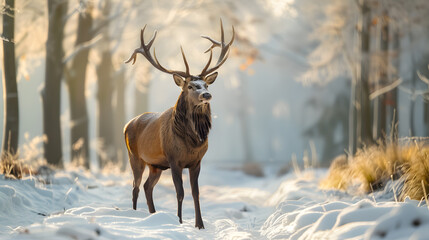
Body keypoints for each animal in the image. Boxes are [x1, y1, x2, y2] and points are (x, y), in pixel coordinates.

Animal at [122, 20, 232, 229]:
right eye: (190, 86)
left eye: (206, 84)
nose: (207, 95)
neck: (193, 141)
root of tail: (126, 124)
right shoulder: (174, 159)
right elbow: (179, 192)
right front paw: (180, 221)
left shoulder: (197, 161)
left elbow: (196, 193)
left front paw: (200, 225)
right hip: (134, 157)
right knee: (135, 186)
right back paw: (135, 215)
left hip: (155, 165)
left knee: (147, 186)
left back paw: (153, 213)